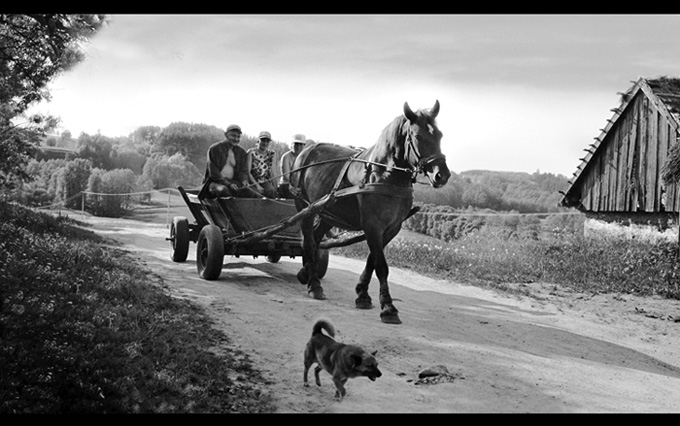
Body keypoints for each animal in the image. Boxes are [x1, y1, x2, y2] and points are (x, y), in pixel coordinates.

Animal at [290, 101, 448, 324]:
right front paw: (388, 307)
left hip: (328, 210)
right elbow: (381, 265)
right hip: (305, 208)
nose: (442, 175)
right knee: (309, 242)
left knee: (316, 238)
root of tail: (307, 151)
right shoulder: (373, 226)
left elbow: (373, 260)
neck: (384, 175)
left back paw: (306, 274)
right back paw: (314, 285)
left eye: (440, 135)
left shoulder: (391, 228)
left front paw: (362, 294)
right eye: (418, 137)